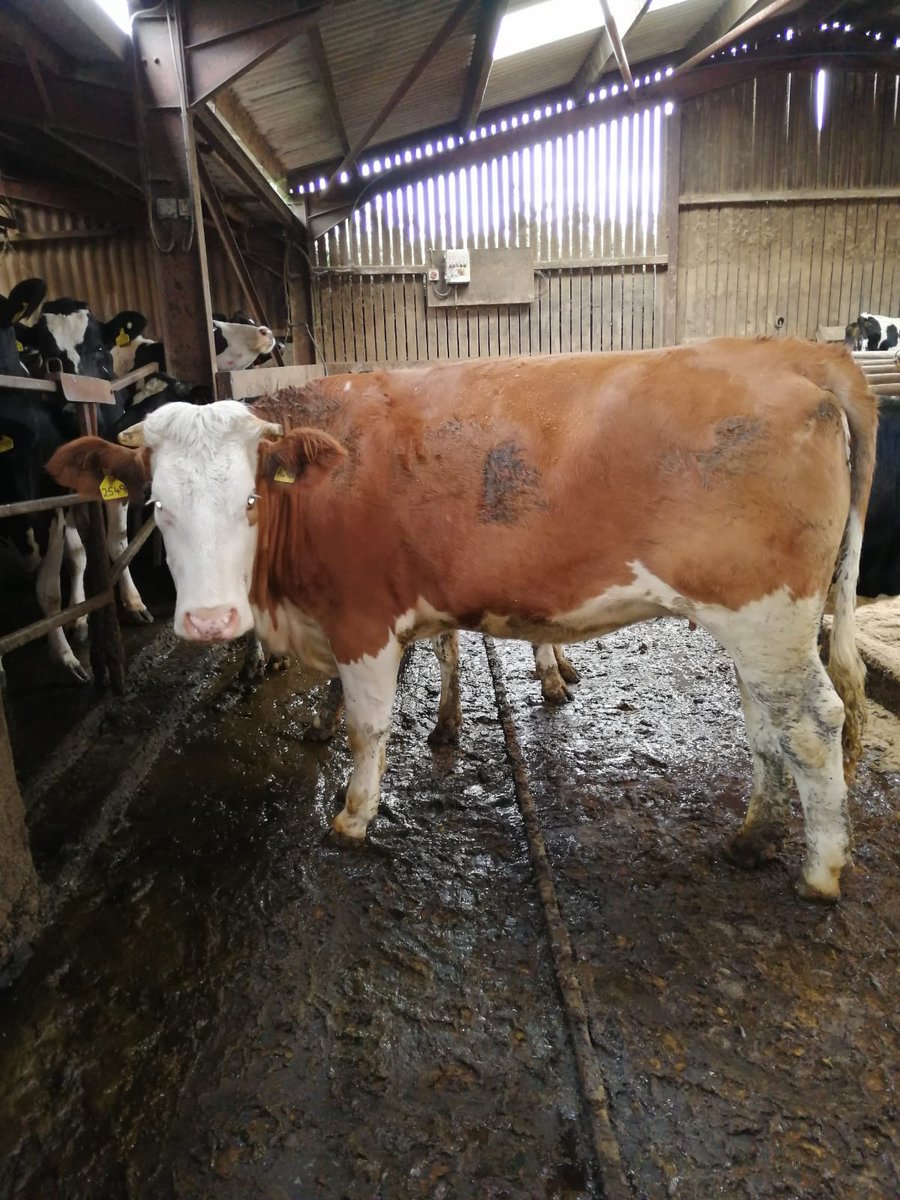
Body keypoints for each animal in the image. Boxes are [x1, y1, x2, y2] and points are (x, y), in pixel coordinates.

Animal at [49, 339, 876, 901]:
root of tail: (798, 353)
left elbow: (368, 727)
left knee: (813, 723)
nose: (211, 620)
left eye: (250, 499)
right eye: (157, 505)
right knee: (767, 725)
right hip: (756, 622)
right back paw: (755, 834)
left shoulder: (362, 618)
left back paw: (820, 870)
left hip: (767, 611)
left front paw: (354, 817)